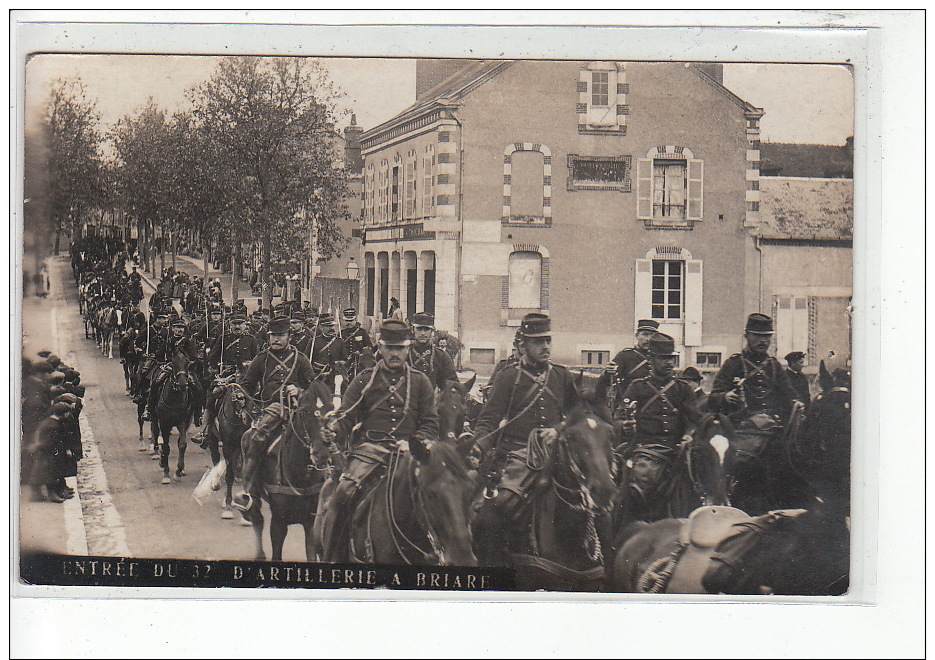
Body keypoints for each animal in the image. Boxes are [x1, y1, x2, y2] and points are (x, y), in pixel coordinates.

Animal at [239, 382, 334, 564]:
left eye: (332, 408)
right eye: (304, 411)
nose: (323, 453)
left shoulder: (311, 520)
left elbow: (312, 554)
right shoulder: (278, 521)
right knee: (257, 518)